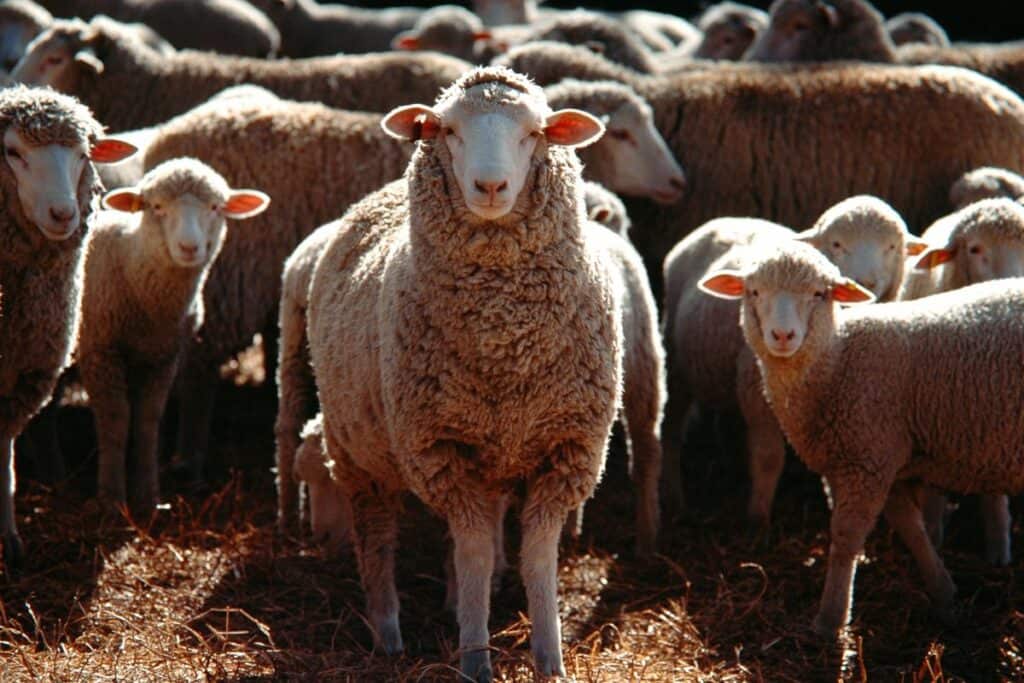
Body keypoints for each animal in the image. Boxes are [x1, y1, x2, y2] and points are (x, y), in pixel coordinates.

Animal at [0, 85, 135, 567]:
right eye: (12, 152)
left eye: (82, 154)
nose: (63, 214)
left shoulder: (29, 373)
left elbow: (3, 455)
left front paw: (9, 539)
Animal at [76, 158, 268, 510]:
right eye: (156, 207)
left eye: (215, 207)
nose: (189, 247)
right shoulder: (100, 349)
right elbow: (115, 420)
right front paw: (111, 499)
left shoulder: (164, 355)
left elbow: (148, 420)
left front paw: (147, 497)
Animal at [306, 66, 619, 680]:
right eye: (448, 130)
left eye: (535, 132)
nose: (491, 187)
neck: (505, 338)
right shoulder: (442, 449)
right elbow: (472, 552)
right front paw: (475, 657)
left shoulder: (567, 448)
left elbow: (537, 558)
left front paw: (549, 658)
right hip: (358, 452)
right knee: (376, 540)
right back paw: (388, 633)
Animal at [661, 197, 922, 518]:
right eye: (836, 244)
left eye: (892, 246)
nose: (865, 281)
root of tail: (731, 218)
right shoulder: (757, 396)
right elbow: (768, 457)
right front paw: (758, 517)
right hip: (675, 360)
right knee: (671, 427)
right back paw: (673, 497)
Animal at [699, 241, 1024, 638]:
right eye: (754, 292)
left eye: (819, 293)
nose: (783, 335)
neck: (838, 359)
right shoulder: (883, 457)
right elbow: (911, 527)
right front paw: (944, 592)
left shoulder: (865, 458)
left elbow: (846, 538)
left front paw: (830, 620)